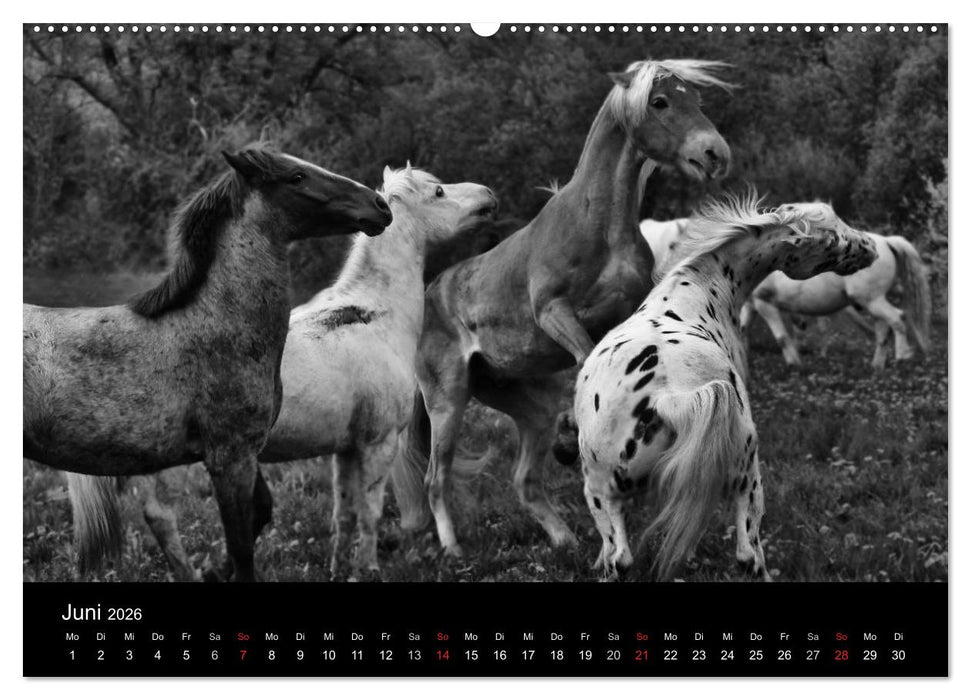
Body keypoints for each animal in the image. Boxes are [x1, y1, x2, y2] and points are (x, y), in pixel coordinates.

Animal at [24, 146, 392, 581]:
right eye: (296, 177)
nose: (379, 206)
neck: (213, 326)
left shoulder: (246, 453)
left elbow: (260, 514)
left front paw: (214, 571)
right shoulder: (229, 458)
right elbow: (241, 547)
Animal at [66, 165, 497, 579]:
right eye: (438, 191)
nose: (488, 195)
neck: (374, 315)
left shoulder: (346, 448)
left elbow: (343, 514)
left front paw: (339, 569)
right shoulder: (379, 442)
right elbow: (370, 514)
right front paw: (368, 569)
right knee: (162, 517)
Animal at [391, 59, 733, 558]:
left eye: (699, 99)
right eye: (659, 101)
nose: (714, 154)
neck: (598, 225)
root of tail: (429, 298)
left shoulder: (624, 317)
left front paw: (576, 438)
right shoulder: (554, 312)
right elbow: (586, 357)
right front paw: (576, 435)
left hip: (519, 403)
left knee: (524, 479)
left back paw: (563, 537)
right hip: (447, 401)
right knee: (436, 478)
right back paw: (453, 550)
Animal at [572, 196, 877, 581]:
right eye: (833, 235)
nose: (872, 247)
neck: (691, 297)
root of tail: (666, 396)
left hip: (611, 495)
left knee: (623, 559)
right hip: (745, 482)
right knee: (747, 557)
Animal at [740, 231, 931, 369]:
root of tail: (886, 241)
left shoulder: (764, 303)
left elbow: (782, 337)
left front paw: (794, 364)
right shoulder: (750, 305)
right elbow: (742, 328)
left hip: (871, 300)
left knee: (897, 319)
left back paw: (902, 356)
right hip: (874, 301)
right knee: (884, 329)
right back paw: (877, 365)